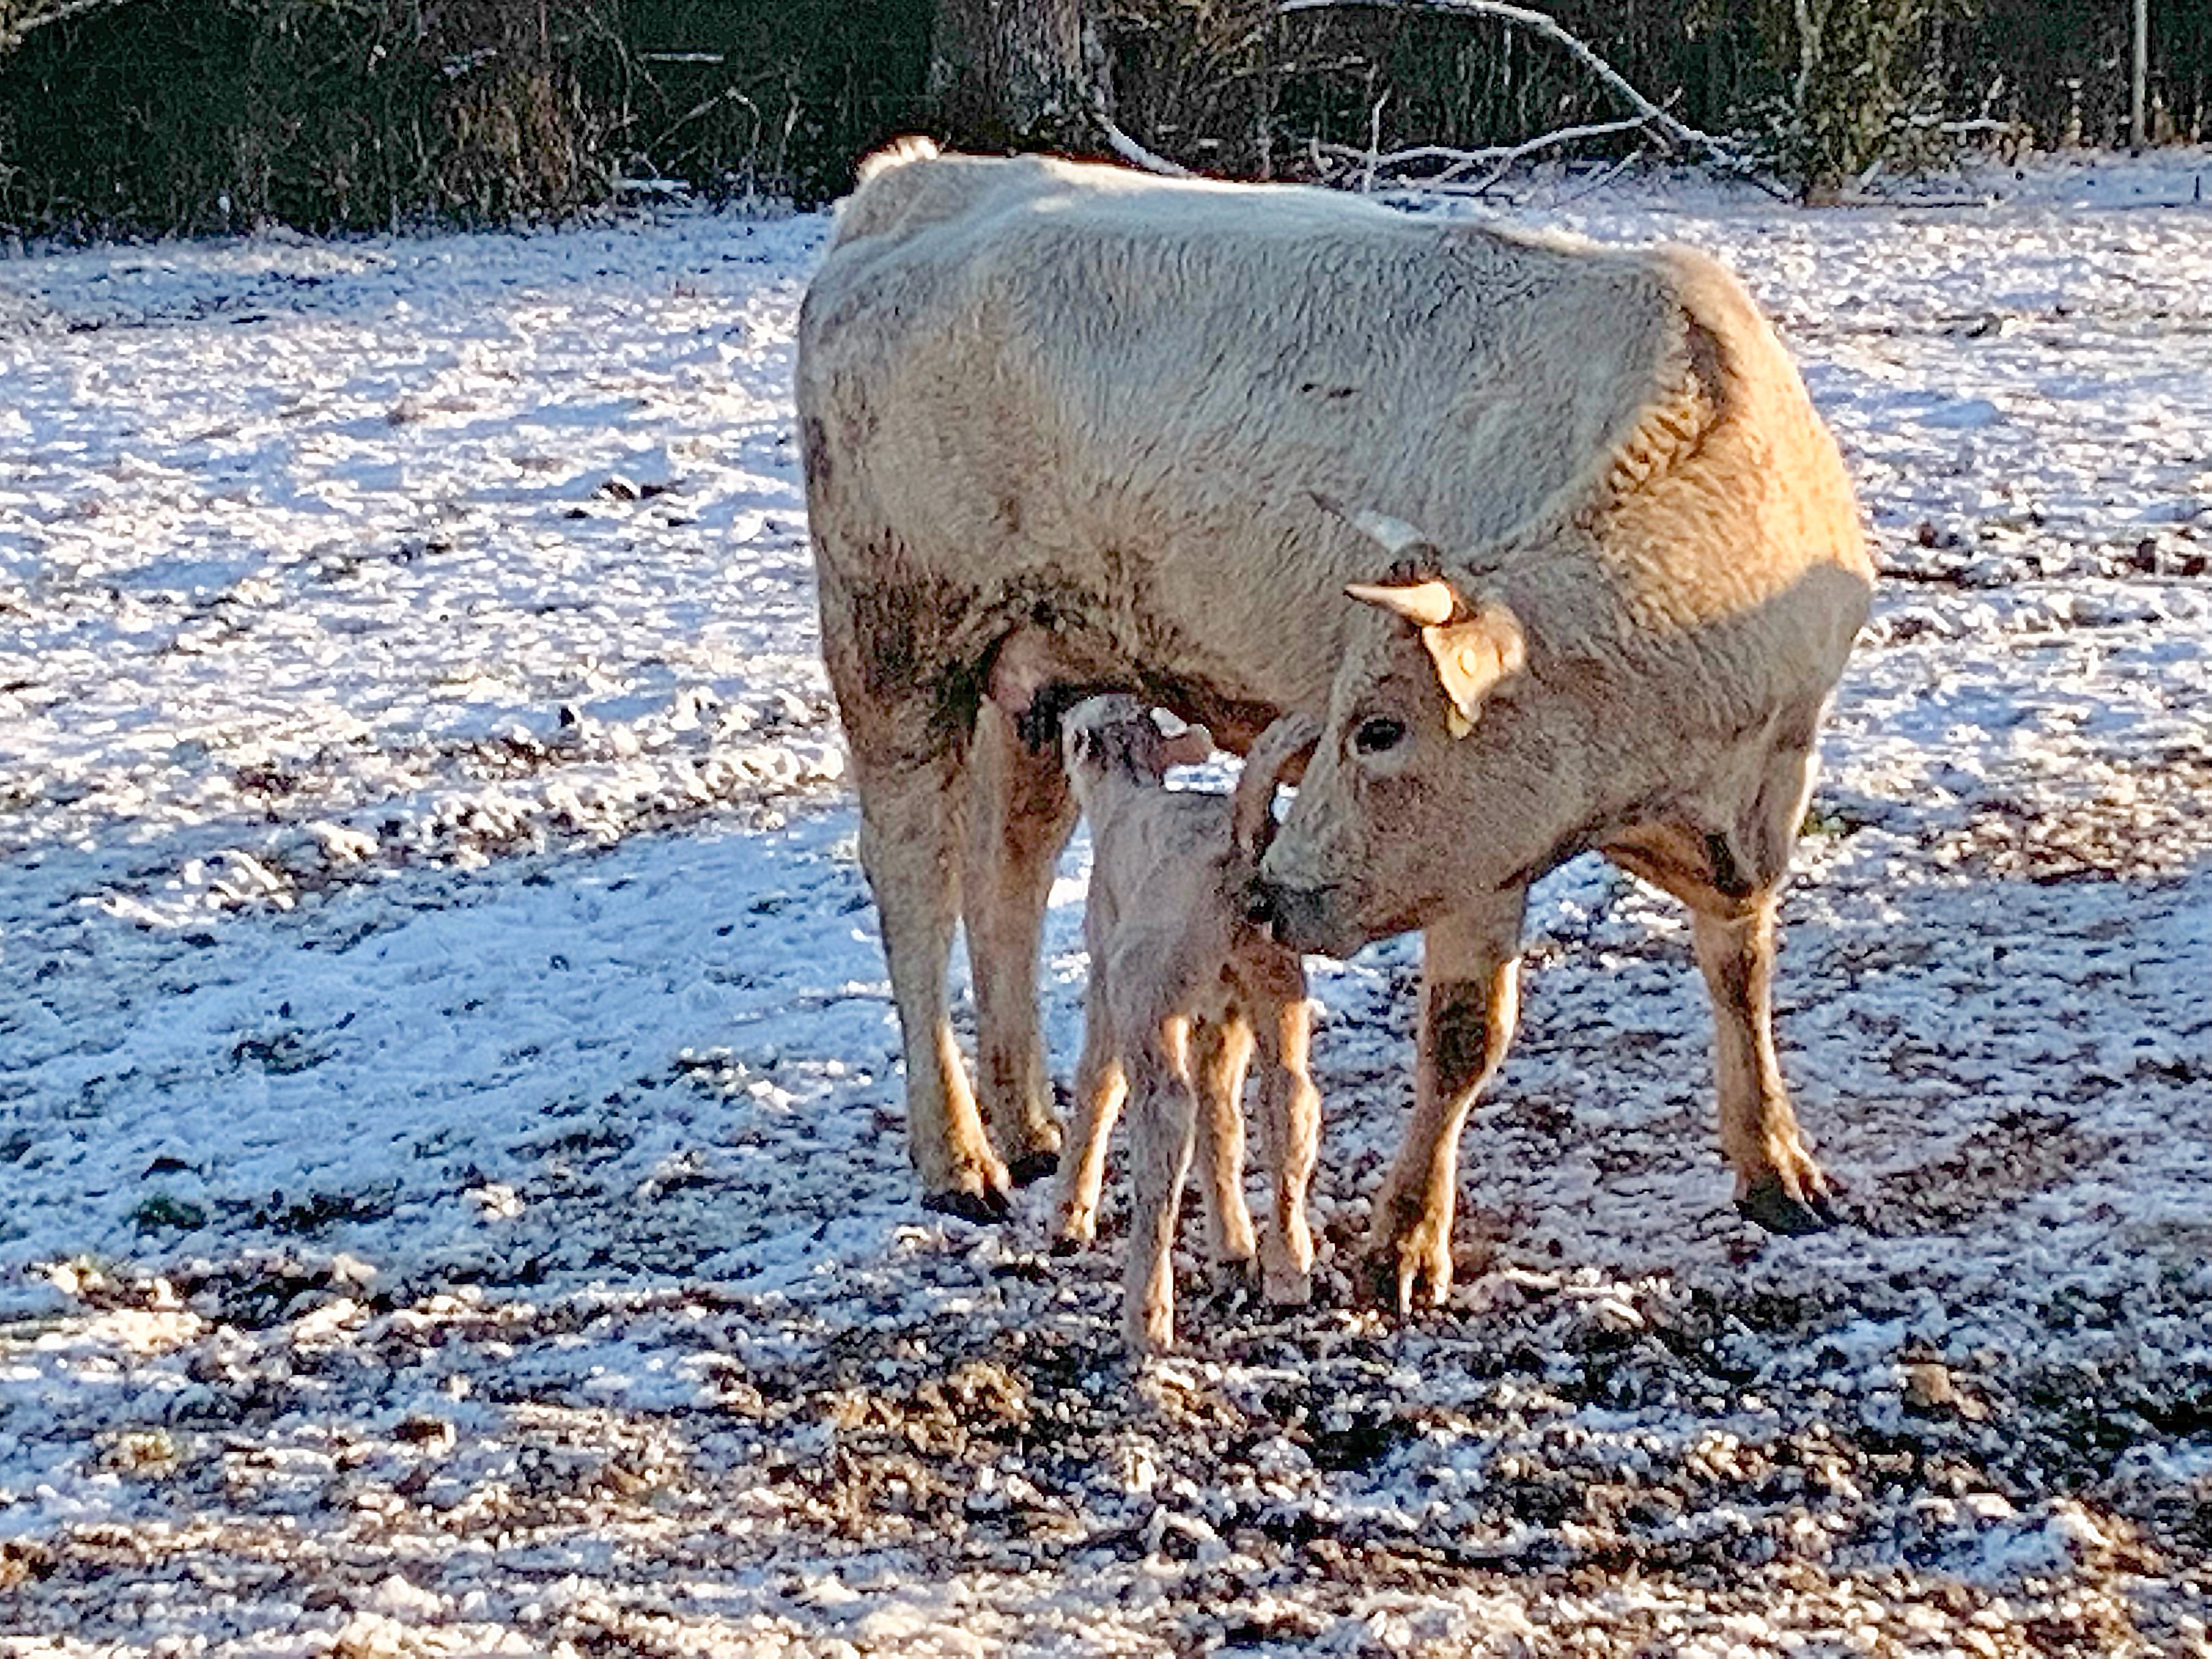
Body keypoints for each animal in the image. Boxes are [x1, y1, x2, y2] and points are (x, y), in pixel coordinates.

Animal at [1057, 695, 1318, 1353]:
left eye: (1073, 732)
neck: (1124, 798)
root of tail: (1240, 848)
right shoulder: (1221, 1012)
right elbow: (1221, 1118)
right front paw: (1234, 1249)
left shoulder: (1104, 966)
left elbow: (1097, 1085)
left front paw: (1068, 1217)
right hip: (1274, 974)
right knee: (1289, 1097)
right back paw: (1288, 1270)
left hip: (1144, 980)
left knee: (1164, 1115)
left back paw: (1147, 1314)